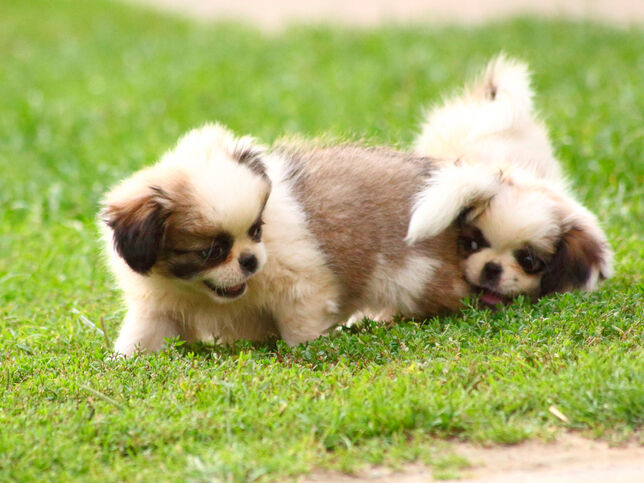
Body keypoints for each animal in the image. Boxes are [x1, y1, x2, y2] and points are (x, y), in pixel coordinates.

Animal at [102, 126, 472, 358]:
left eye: (256, 230)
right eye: (212, 251)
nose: (250, 260)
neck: (203, 294)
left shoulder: (302, 288)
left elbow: (300, 328)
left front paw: (305, 351)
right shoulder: (158, 307)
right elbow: (142, 336)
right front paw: (122, 363)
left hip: (415, 276)